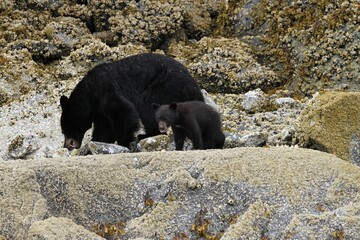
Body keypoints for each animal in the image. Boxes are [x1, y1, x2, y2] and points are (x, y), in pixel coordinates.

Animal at [60, 53, 204, 150]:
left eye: (65, 128)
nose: (67, 145)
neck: (88, 96)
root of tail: (194, 87)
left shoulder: (105, 90)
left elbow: (123, 111)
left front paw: (126, 141)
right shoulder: (99, 112)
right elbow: (104, 128)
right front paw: (97, 142)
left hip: (163, 86)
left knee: (147, 107)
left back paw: (145, 135)